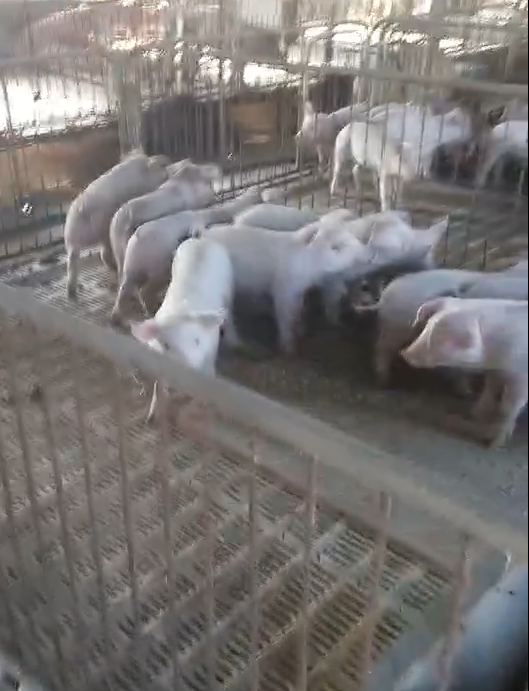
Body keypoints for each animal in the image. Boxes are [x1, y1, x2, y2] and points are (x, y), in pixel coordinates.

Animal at [64, 150, 171, 299]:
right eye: (163, 170)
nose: (168, 173)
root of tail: (82, 210)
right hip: (102, 228)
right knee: (104, 254)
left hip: (72, 239)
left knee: (73, 262)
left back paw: (72, 292)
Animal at [111, 187, 263, 324]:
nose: (257, 191)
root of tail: (137, 242)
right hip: (155, 269)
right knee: (144, 291)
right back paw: (151, 310)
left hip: (131, 268)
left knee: (124, 290)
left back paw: (116, 317)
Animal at [130, 237, 236, 423]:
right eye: (166, 345)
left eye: (197, 341)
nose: (185, 376)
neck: (180, 312)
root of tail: (202, 240)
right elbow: (159, 386)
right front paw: (151, 418)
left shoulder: (210, 352)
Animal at [196, 221, 375, 352]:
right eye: (336, 247)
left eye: (352, 237)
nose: (370, 255)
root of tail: (205, 234)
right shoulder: (284, 290)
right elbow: (285, 316)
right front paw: (289, 348)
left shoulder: (299, 291)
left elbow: (299, 310)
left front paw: (302, 331)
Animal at [401, 297, 528, 447]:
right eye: (428, 325)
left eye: (444, 337)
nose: (404, 353)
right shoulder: (496, 371)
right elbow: (490, 387)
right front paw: (476, 414)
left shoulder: (521, 379)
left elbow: (508, 407)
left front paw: (493, 444)